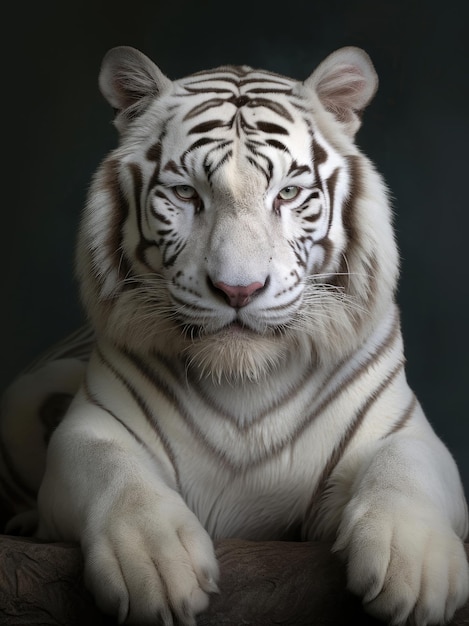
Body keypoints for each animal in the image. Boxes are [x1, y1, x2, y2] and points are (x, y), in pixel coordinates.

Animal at [1, 45, 466, 624]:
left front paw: (417, 567)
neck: (245, 382)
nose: (238, 290)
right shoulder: (91, 428)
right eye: (185, 194)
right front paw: (154, 565)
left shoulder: (402, 431)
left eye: (288, 193)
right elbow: (114, 471)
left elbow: (405, 468)